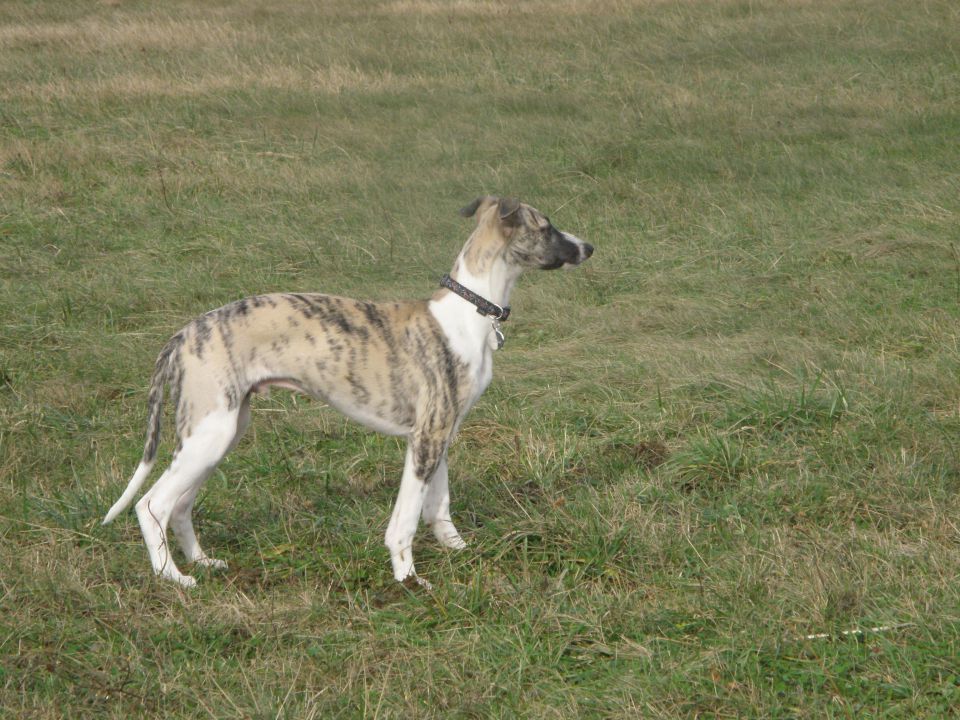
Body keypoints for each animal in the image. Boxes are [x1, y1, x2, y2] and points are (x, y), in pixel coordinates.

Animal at [101, 195, 588, 584]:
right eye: (546, 226)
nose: (590, 247)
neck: (469, 312)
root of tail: (183, 334)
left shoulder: (440, 434)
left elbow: (438, 507)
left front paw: (460, 552)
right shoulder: (425, 438)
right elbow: (405, 520)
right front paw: (408, 580)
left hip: (221, 433)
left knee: (180, 506)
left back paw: (202, 562)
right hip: (210, 434)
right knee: (152, 505)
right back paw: (174, 579)